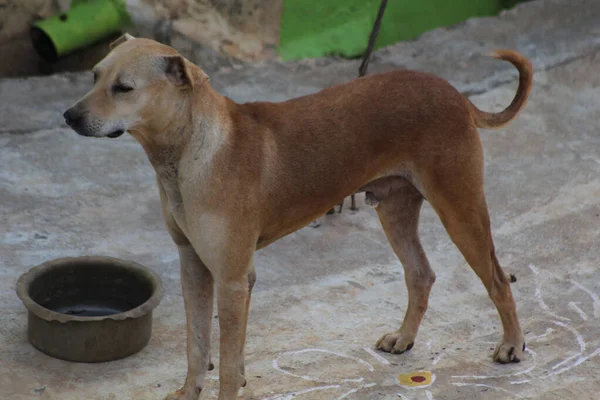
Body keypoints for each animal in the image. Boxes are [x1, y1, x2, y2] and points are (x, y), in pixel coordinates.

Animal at [64, 35, 536, 400]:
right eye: (94, 76)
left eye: (123, 88)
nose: (69, 116)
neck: (188, 150)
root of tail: (456, 95)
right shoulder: (193, 267)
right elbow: (196, 346)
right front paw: (188, 391)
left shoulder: (233, 280)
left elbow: (229, 361)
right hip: (394, 209)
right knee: (421, 274)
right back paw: (404, 338)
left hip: (461, 210)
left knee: (498, 280)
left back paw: (513, 345)